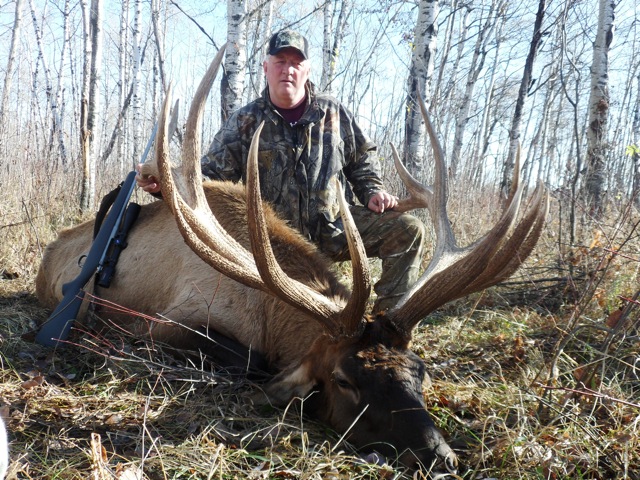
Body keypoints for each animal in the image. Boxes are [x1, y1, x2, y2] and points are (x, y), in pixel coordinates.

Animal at [36, 46, 548, 474]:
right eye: (344, 379)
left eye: (419, 372)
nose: (439, 457)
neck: (265, 313)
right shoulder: (166, 323)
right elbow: (251, 361)